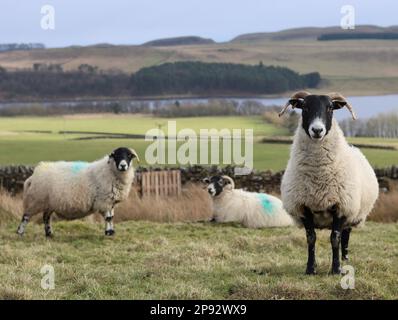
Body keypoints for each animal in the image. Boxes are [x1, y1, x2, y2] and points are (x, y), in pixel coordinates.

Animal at [278, 92, 378, 276]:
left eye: (330, 108)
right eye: (305, 107)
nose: (317, 130)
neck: (318, 177)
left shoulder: (341, 206)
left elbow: (335, 238)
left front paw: (336, 269)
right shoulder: (304, 206)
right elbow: (311, 238)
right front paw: (310, 268)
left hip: (351, 210)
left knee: (345, 235)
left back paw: (345, 259)